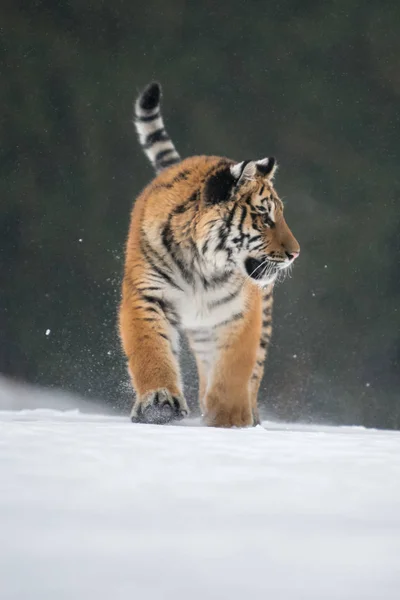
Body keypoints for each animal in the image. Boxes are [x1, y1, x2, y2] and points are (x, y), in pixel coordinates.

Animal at [119, 81, 300, 426]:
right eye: (265, 216)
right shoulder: (147, 294)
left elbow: (233, 370)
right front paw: (159, 404)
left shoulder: (239, 312)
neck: (201, 264)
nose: (295, 253)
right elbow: (150, 349)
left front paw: (229, 419)